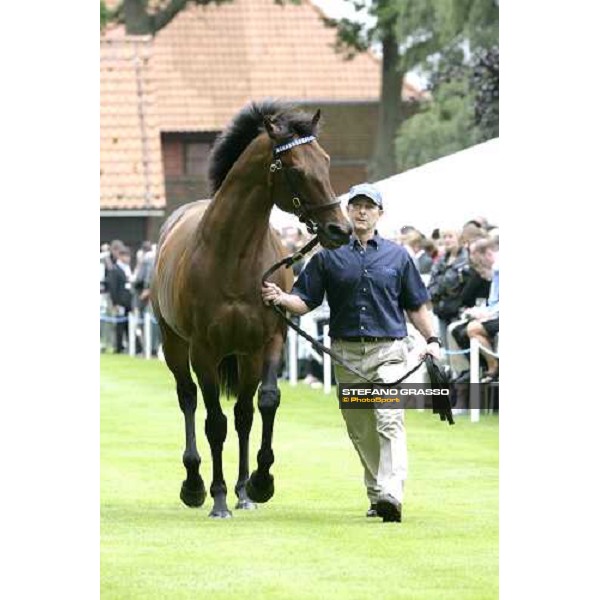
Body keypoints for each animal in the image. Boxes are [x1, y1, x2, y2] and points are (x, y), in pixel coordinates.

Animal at [150, 99, 354, 516]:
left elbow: (266, 402)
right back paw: (196, 485)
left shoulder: (269, 339)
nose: (340, 230)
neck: (234, 256)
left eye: (326, 161)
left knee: (243, 414)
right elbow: (214, 422)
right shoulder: (204, 351)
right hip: (174, 345)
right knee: (188, 399)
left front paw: (260, 483)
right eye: (295, 168)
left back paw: (243, 491)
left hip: (245, 356)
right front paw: (218, 499)